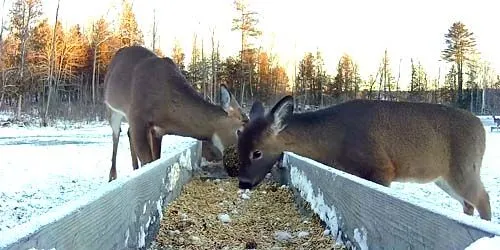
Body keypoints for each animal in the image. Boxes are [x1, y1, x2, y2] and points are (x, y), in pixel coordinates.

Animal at [103, 45, 248, 182]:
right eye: (239, 130)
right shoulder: (137, 116)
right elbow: (147, 160)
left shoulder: (157, 131)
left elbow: (155, 159)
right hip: (112, 110)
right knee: (116, 136)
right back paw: (112, 176)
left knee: (127, 132)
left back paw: (134, 168)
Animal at [238, 95, 492, 221]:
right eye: (238, 145)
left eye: (257, 152)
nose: (243, 183)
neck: (334, 141)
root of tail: (481, 126)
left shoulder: (381, 168)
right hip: (444, 178)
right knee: (469, 203)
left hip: (464, 167)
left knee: (483, 198)